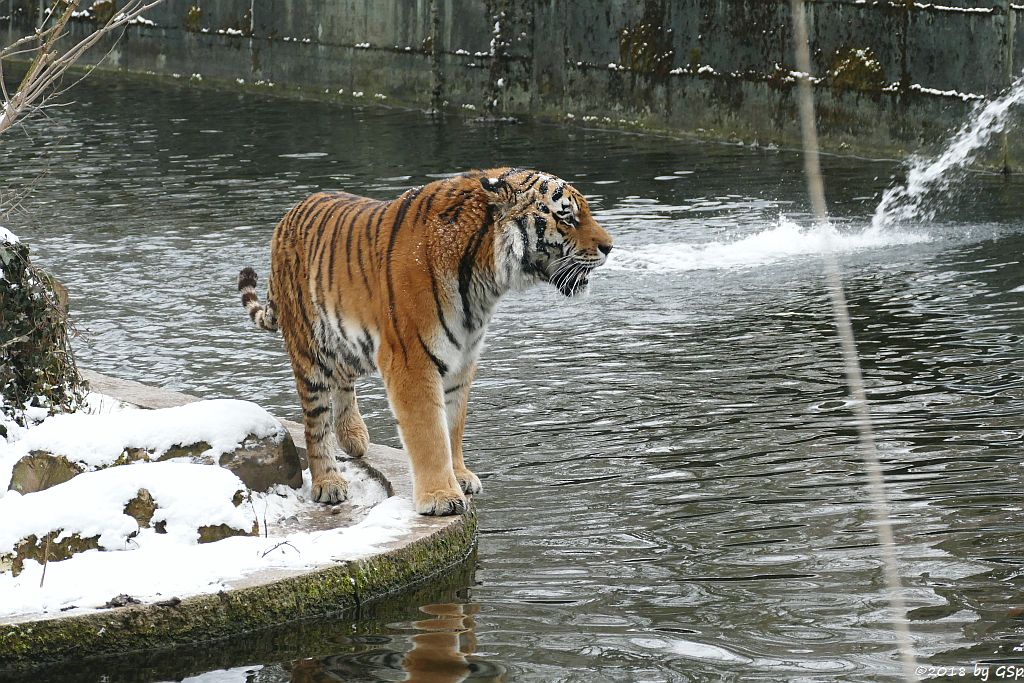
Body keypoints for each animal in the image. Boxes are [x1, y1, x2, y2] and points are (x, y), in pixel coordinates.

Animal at [235, 167, 610, 516]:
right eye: (566, 216)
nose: (609, 246)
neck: (483, 276)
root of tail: (288, 215)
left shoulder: (462, 360)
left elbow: (453, 425)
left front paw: (460, 477)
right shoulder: (410, 358)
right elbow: (428, 432)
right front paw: (441, 496)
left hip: (349, 341)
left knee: (342, 378)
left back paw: (354, 436)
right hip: (309, 349)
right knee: (316, 423)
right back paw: (328, 482)